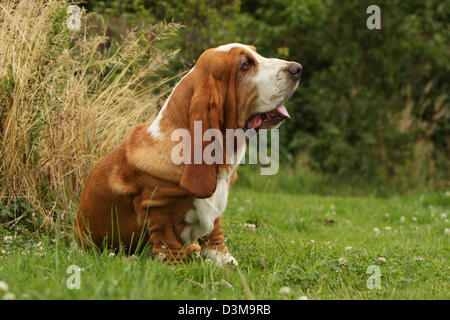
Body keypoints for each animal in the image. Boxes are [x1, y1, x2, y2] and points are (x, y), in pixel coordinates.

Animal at [75, 43, 302, 266]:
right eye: (245, 64)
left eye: (256, 53)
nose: (298, 68)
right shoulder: (158, 209)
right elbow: (166, 240)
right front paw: (176, 264)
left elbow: (215, 233)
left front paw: (224, 260)